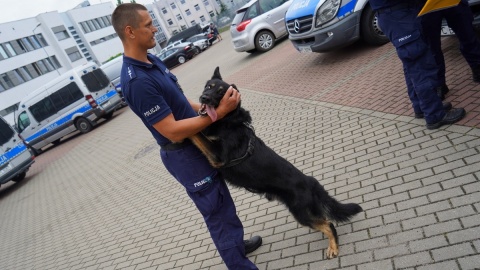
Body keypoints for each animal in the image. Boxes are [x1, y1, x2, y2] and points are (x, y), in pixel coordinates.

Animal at [189, 66, 362, 258]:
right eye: (208, 87)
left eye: (220, 92)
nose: (204, 98)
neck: (227, 119)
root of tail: (310, 181)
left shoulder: (217, 156)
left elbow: (195, 133)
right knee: (324, 220)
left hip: (301, 214)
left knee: (328, 224)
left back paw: (333, 247)